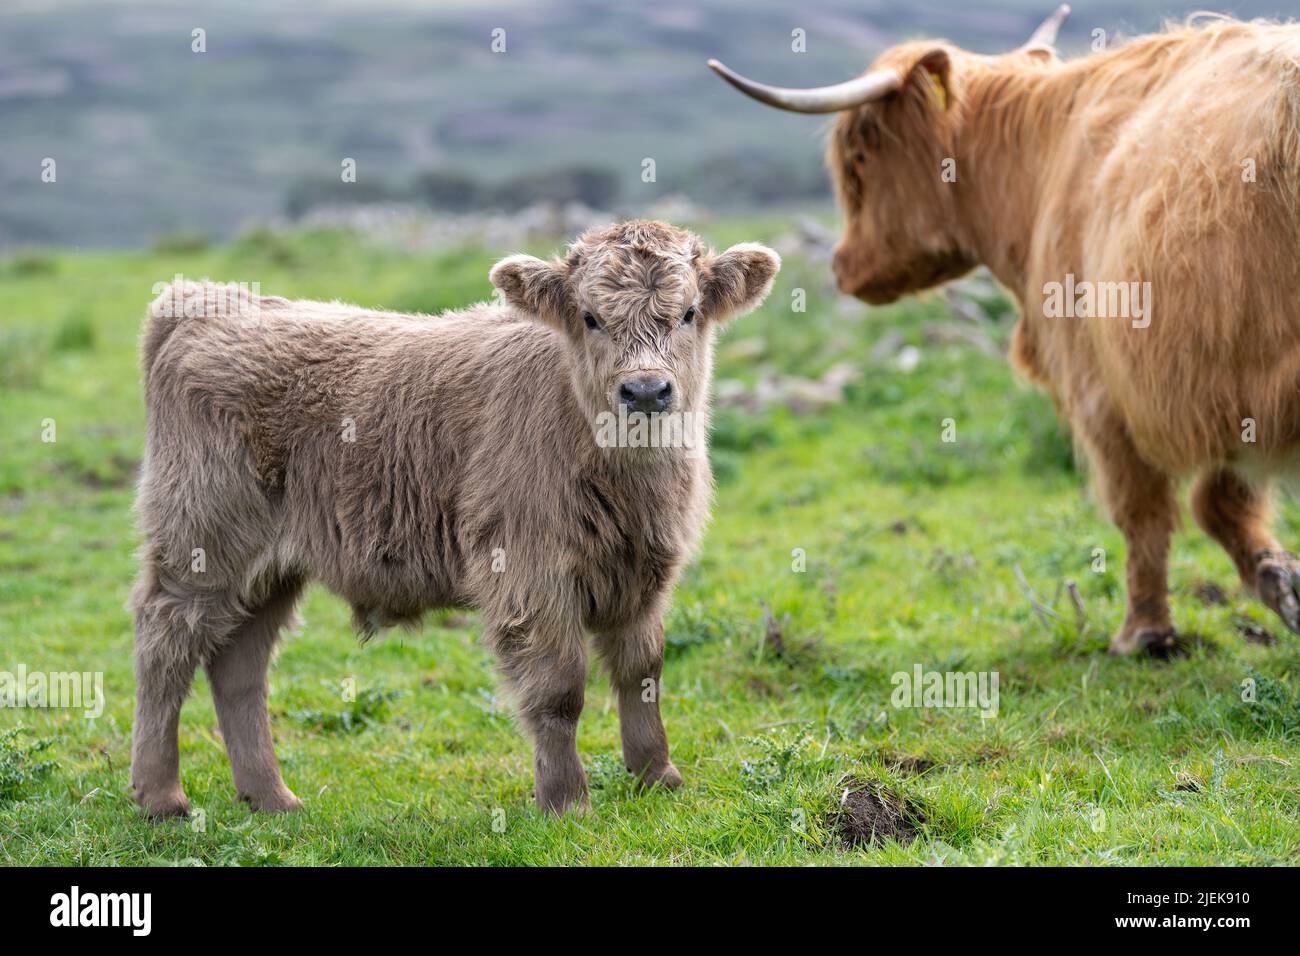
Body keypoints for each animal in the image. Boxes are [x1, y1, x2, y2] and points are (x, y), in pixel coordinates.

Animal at [131, 221, 780, 816]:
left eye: (689, 312)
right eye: (591, 317)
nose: (645, 391)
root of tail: (206, 302)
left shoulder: (647, 572)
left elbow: (643, 670)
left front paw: (657, 775)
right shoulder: (531, 577)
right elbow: (559, 690)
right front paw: (565, 801)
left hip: (269, 568)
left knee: (238, 664)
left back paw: (270, 797)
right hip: (202, 543)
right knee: (165, 644)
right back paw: (161, 797)